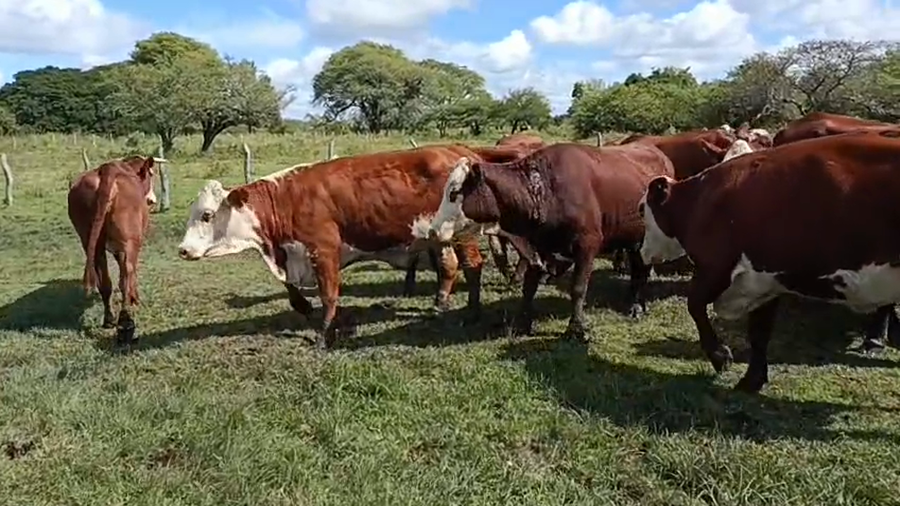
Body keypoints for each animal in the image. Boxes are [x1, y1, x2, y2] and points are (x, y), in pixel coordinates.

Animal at [67, 155, 164, 343]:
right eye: (151, 174)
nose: (152, 199)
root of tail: (106, 170)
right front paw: (135, 298)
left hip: (91, 242)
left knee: (105, 281)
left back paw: (109, 319)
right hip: (130, 241)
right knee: (126, 275)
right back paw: (126, 323)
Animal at [177, 145, 488, 350]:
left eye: (207, 215)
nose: (183, 250)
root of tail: (459, 152)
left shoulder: (323, 251)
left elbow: (328, 295)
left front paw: (323, 335)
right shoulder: (294, 253)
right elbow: (292, 290)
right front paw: (304, 306)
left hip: (463, 234)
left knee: (473, 266)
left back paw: (472, 313)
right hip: (440, 237)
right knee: (449, 266)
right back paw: (441, 303)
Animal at [412, 142, 675, 341]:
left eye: (454, 192)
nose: (433, 230)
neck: (543, 188)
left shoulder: (586, 246)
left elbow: (578, 288)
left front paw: (576, 328)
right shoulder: (538, 247)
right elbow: (529, 286)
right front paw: (522, 322)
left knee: (641, 271)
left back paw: (636, 306)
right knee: (639, 270)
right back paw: (635, 302)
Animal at [638, 129, 900, 393]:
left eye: (642, 209)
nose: (643, 251)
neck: (706, 200)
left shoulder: (716, 266)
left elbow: (694, 305)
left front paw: (720, 357)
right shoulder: (765, 279)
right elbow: (759, 333)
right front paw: (752, 380)